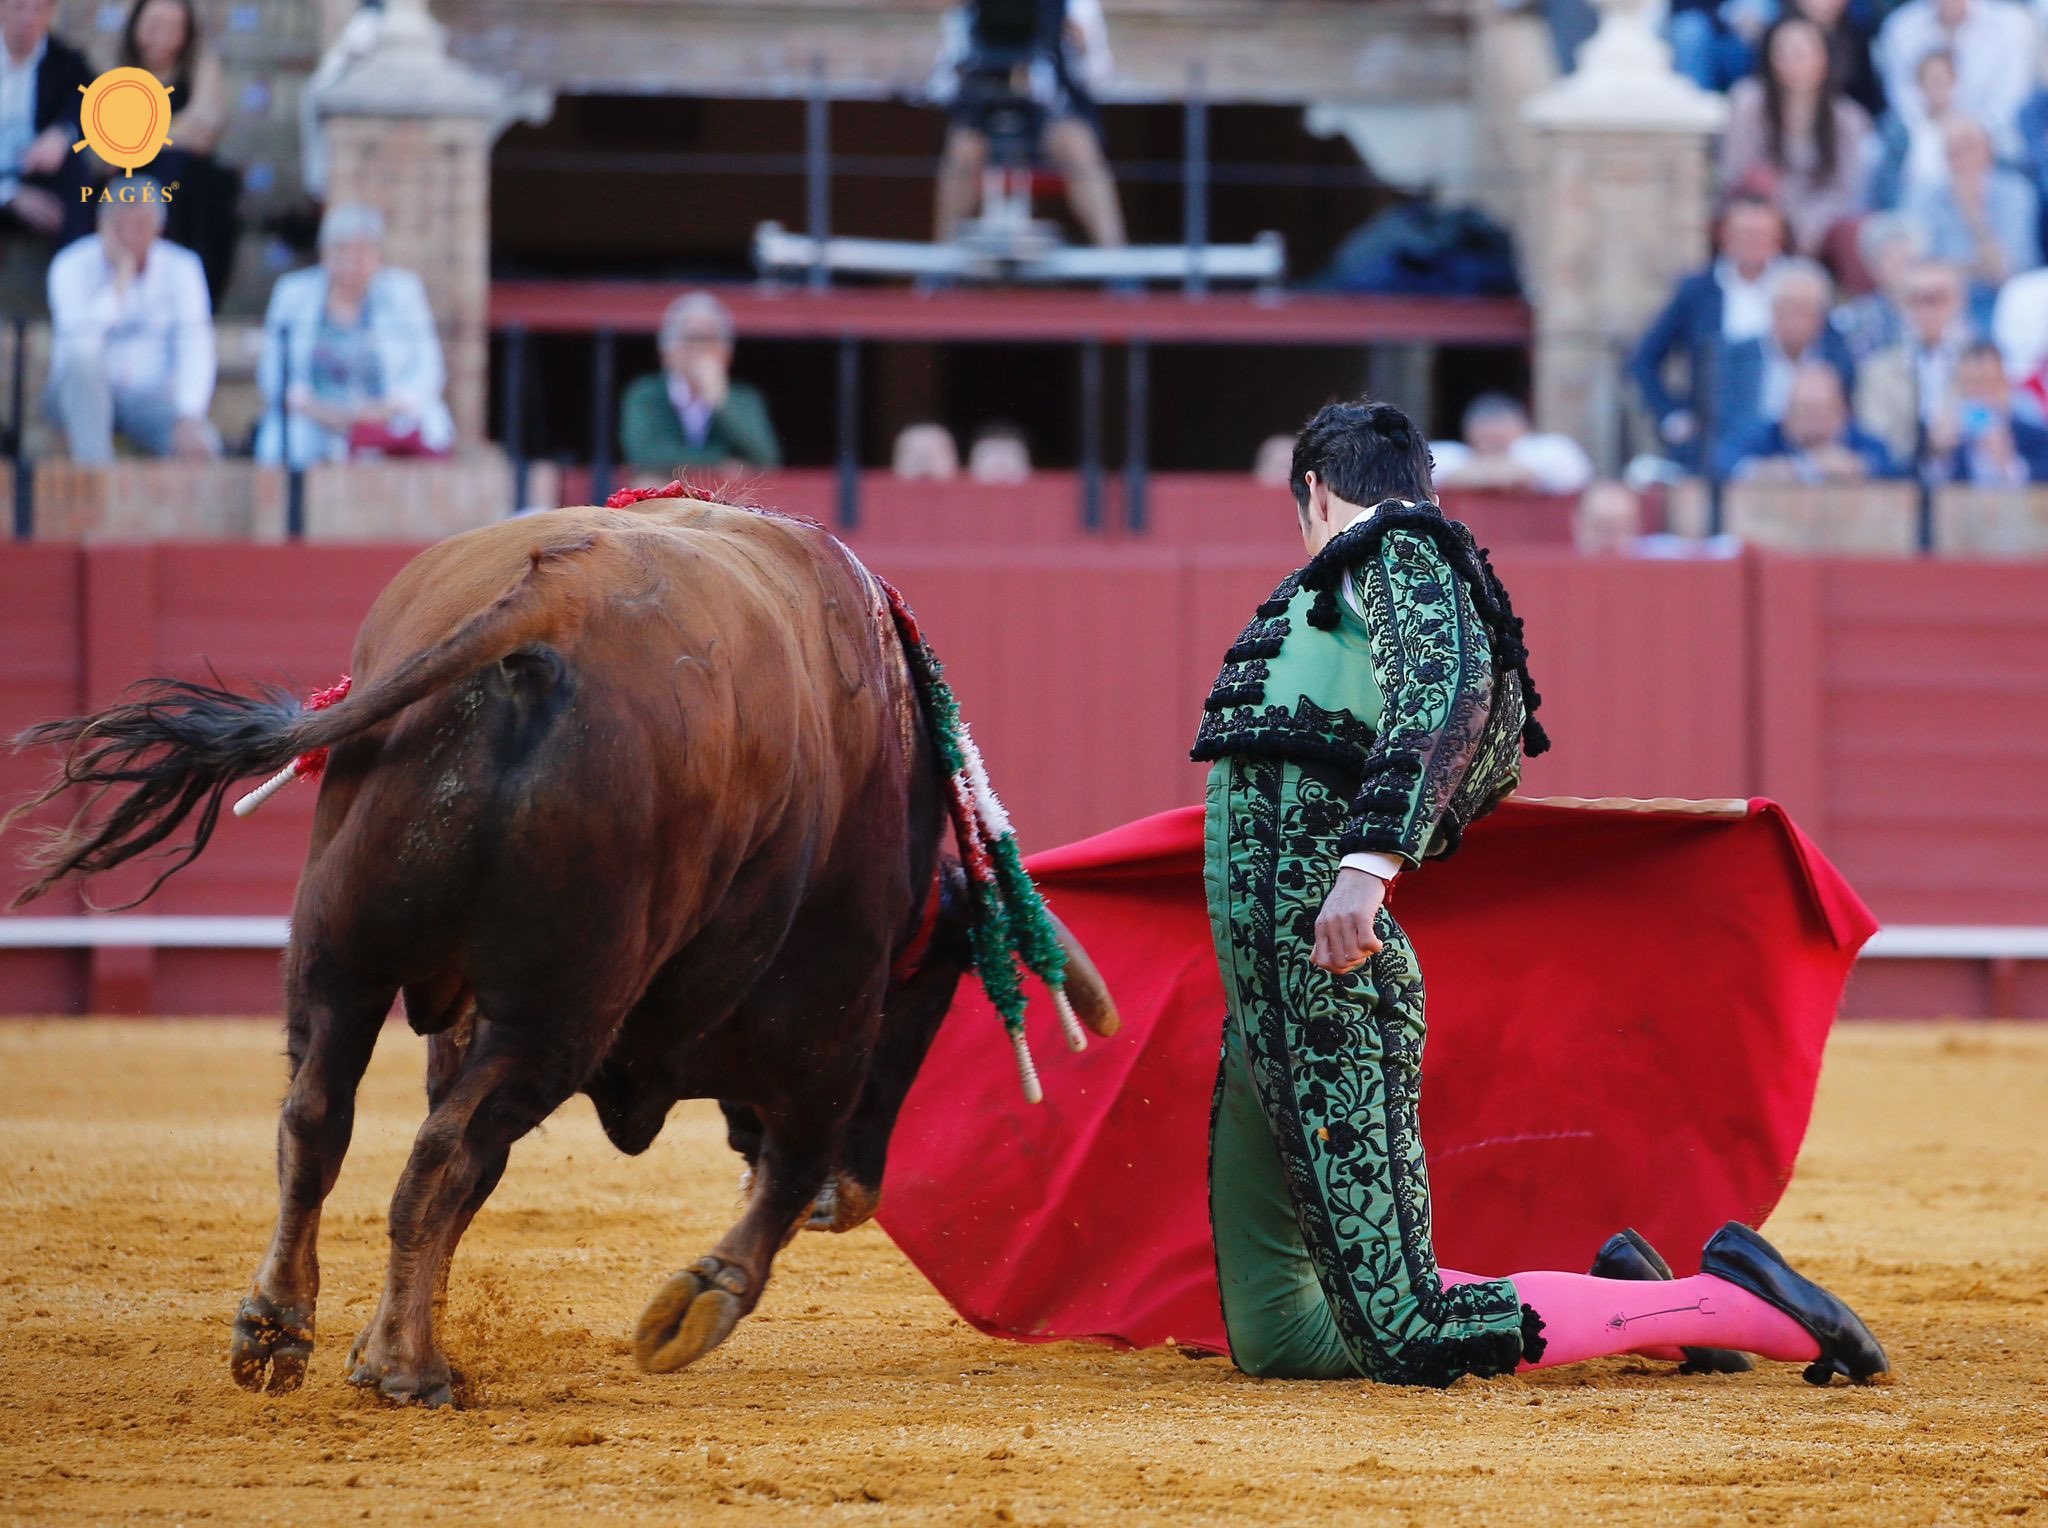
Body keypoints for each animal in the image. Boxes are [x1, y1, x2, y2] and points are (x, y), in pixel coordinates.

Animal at [5, 494, 1118, 1408]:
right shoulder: (830, 1012)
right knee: (442, 1150)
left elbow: (456, 1175)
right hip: (566, 1004)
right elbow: (785, 1160)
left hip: (340, 953)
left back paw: (283, 1330)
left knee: (322, 1119)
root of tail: (546, 605)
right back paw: (410, 1371)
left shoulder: (459, 1015)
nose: (861, 1197)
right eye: (928, 996)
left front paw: (371, 1342)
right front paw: (693, 1308)